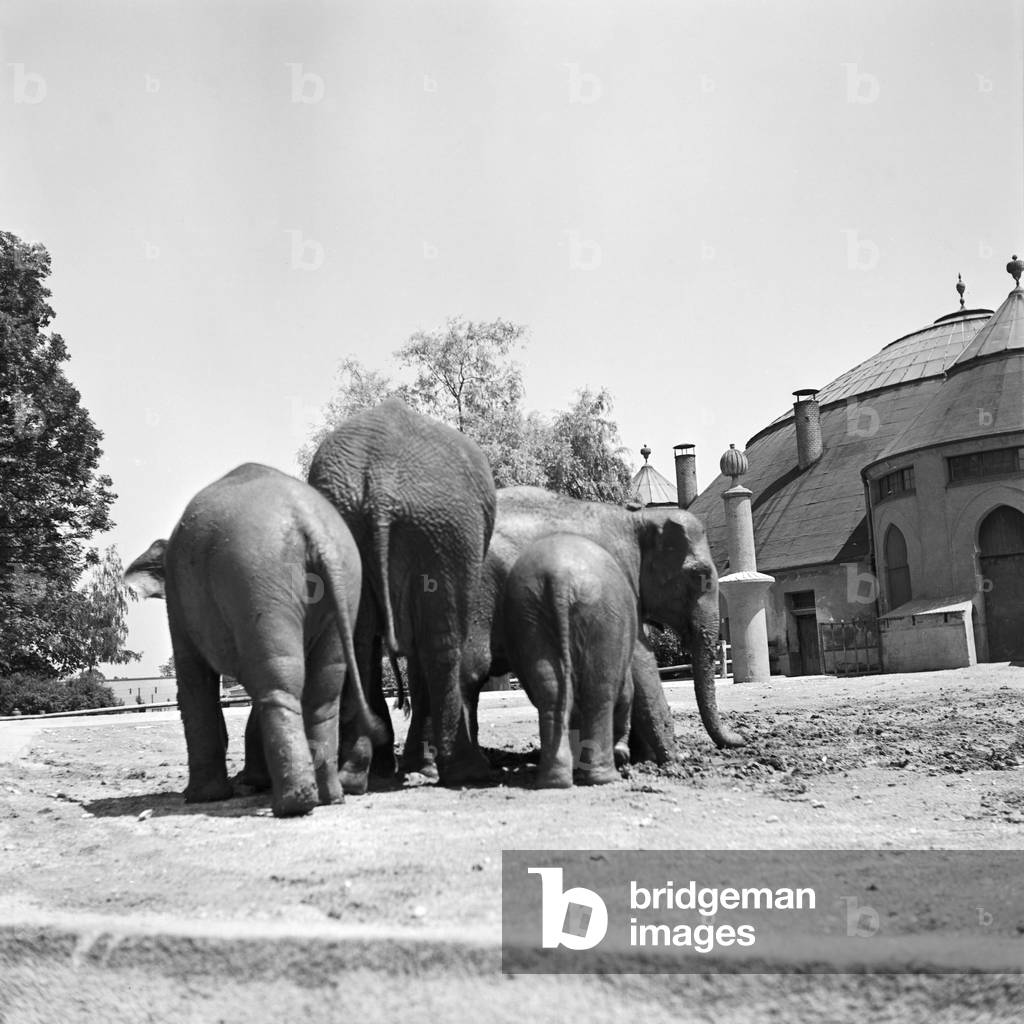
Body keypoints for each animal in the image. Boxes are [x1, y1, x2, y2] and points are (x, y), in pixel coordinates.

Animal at [124, 463, 384, 818]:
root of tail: (310, 523)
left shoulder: (179, 603)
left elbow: (193, 680)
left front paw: (203, 797)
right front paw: (244, 783)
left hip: (256, 577)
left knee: (278, 682)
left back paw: (294, 803)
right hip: (342, 582)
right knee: (322, 687)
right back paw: (330, 796)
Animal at [305, 398, 497, 789]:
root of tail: (383, 482)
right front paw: (421, 767)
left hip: (354, 526)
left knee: (360, 643)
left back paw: (354, 777)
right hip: (447, 527)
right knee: (443, 644)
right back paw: (468, 772)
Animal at [461, 486, 745, 759]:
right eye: (699, 576)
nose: (740, 740)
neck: (636, 519)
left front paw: (641, 756)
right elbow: (639, 659)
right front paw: (674, 758)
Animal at [503, 533, 635, 787]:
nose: (626, 758)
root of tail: (559, 579)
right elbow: (623, 695)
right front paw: (621, 755)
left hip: (527, 616)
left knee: (550, 690)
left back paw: (554, 781)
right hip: (604, 619)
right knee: (599, 692)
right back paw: (605, 778)